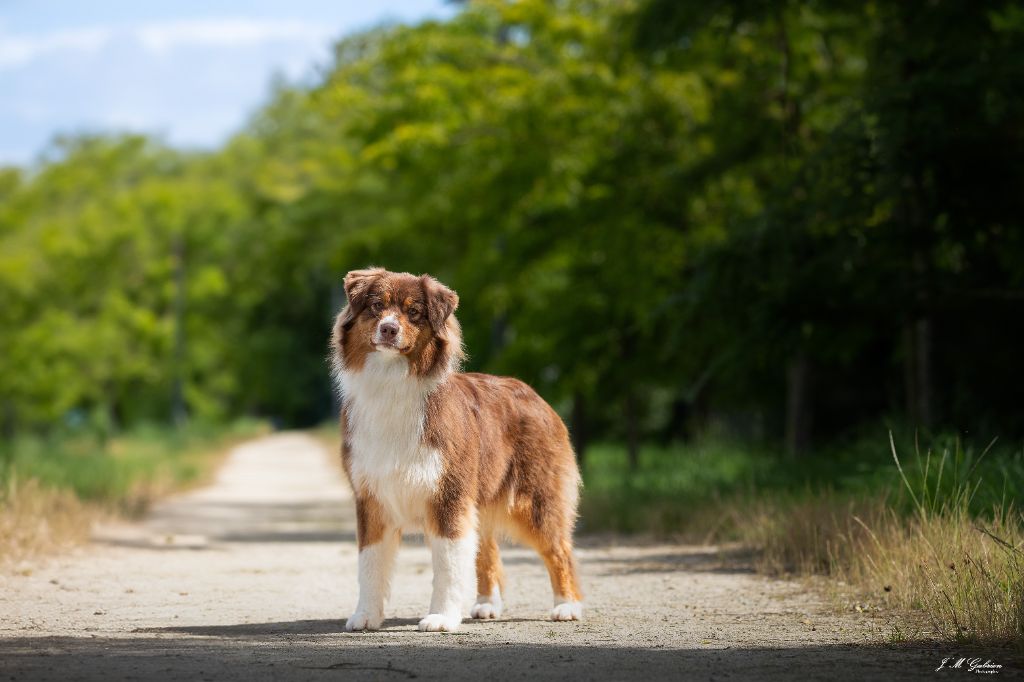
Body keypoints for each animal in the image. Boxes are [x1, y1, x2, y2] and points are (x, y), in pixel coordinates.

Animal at [331, 266, 581, 630]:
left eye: (414, 312)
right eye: (376, 305)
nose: (389, 328)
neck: (392, 382)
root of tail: (535, 394)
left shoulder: (448, 494)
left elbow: (448, 565)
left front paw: (441, 617)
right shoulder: (371, 496)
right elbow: (369, 562)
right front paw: (365, 615)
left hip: (536, 498)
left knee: (559, 549)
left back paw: (567, 606)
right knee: (487, 549)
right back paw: (488, 604)